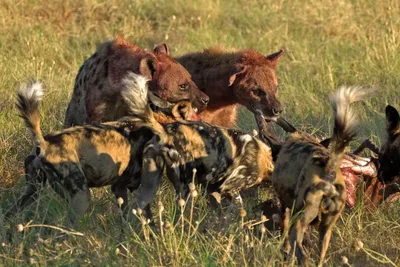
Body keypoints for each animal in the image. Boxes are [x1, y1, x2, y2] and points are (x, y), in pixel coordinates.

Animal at [5, 76, 198, 227]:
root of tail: (44, 143)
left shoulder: (119, 187)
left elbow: (129, 220)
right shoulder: (138, 185)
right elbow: (147, 218)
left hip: (31, 191)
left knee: (8, 214)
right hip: (81, 198)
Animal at [119, 73, 274, 216]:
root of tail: (164, 131)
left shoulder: (213, 189)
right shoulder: (229, 187)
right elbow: (239, 213)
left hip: (149, 185)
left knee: (137, 210)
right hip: (184, 187)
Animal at [272, 87, 372, 266]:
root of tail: (329, 168)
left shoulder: (285, 209)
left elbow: (285, 242)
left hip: (299, 221)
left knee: (301, 253)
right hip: (326, 229)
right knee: (320, 255)